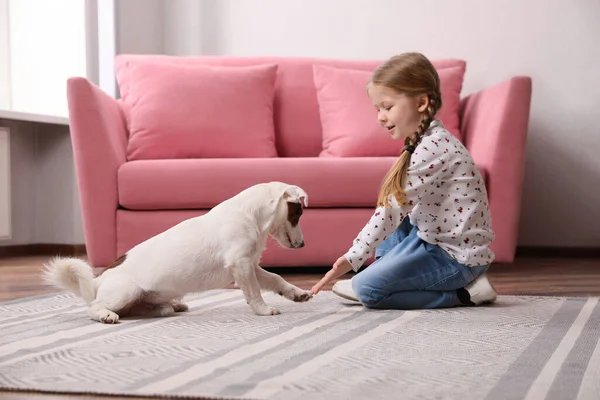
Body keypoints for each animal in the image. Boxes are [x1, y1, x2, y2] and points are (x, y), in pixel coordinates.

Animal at [41, 180, 314, 322]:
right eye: (298, 214)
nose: (303, 245)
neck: (252, 217)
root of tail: (98, 280)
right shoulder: (241, 264)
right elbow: (255, 292)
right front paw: (264, 309)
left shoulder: (251, 265)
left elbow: (275, 278)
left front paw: (297, 293)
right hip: (125, 292)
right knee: (94, 307)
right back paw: (106, 314)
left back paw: (169, 307)